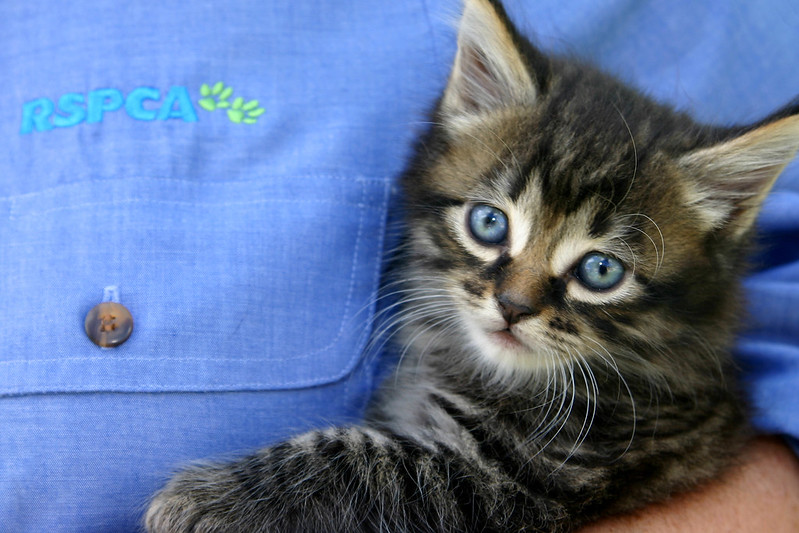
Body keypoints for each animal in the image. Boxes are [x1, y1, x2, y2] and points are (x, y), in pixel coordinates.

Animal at [147, 1, 799, 532]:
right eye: (489, 224)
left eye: (600, 272)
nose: (513, 307)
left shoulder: (515, 479)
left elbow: (360, 462)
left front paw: (203, 500)